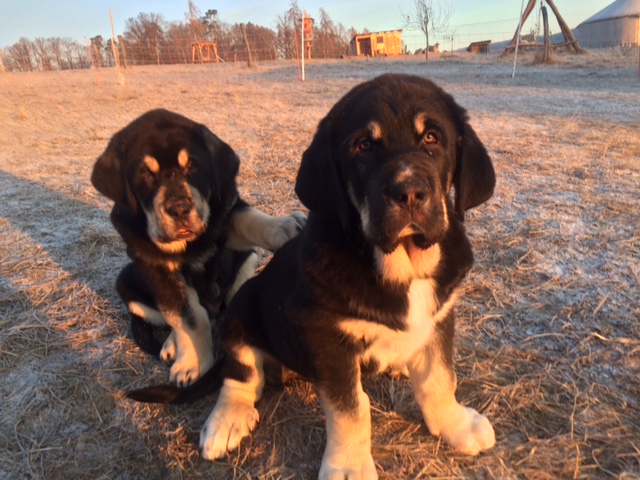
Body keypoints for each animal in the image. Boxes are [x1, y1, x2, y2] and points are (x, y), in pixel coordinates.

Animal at [91, 109, 305, 387]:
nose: (179, 209)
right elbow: (187, 317)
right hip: (126, 282)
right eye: (146, 174)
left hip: (246, 260)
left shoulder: (221, 216)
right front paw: (193, 363)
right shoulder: (157, 268)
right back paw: (172, 345)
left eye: (192, 166)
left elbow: (247, 217)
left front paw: (285, 226)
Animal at [128, 74, 496, 479]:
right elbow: (352, 410)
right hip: (243, 308)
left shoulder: (439, 315)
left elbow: (439, 378)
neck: (402, 267)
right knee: (240, 375)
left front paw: (455, 425)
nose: (410, 192)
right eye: (363, 146)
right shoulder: (327, 339)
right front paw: (350, 466)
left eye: (432, 138)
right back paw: (227, 419)